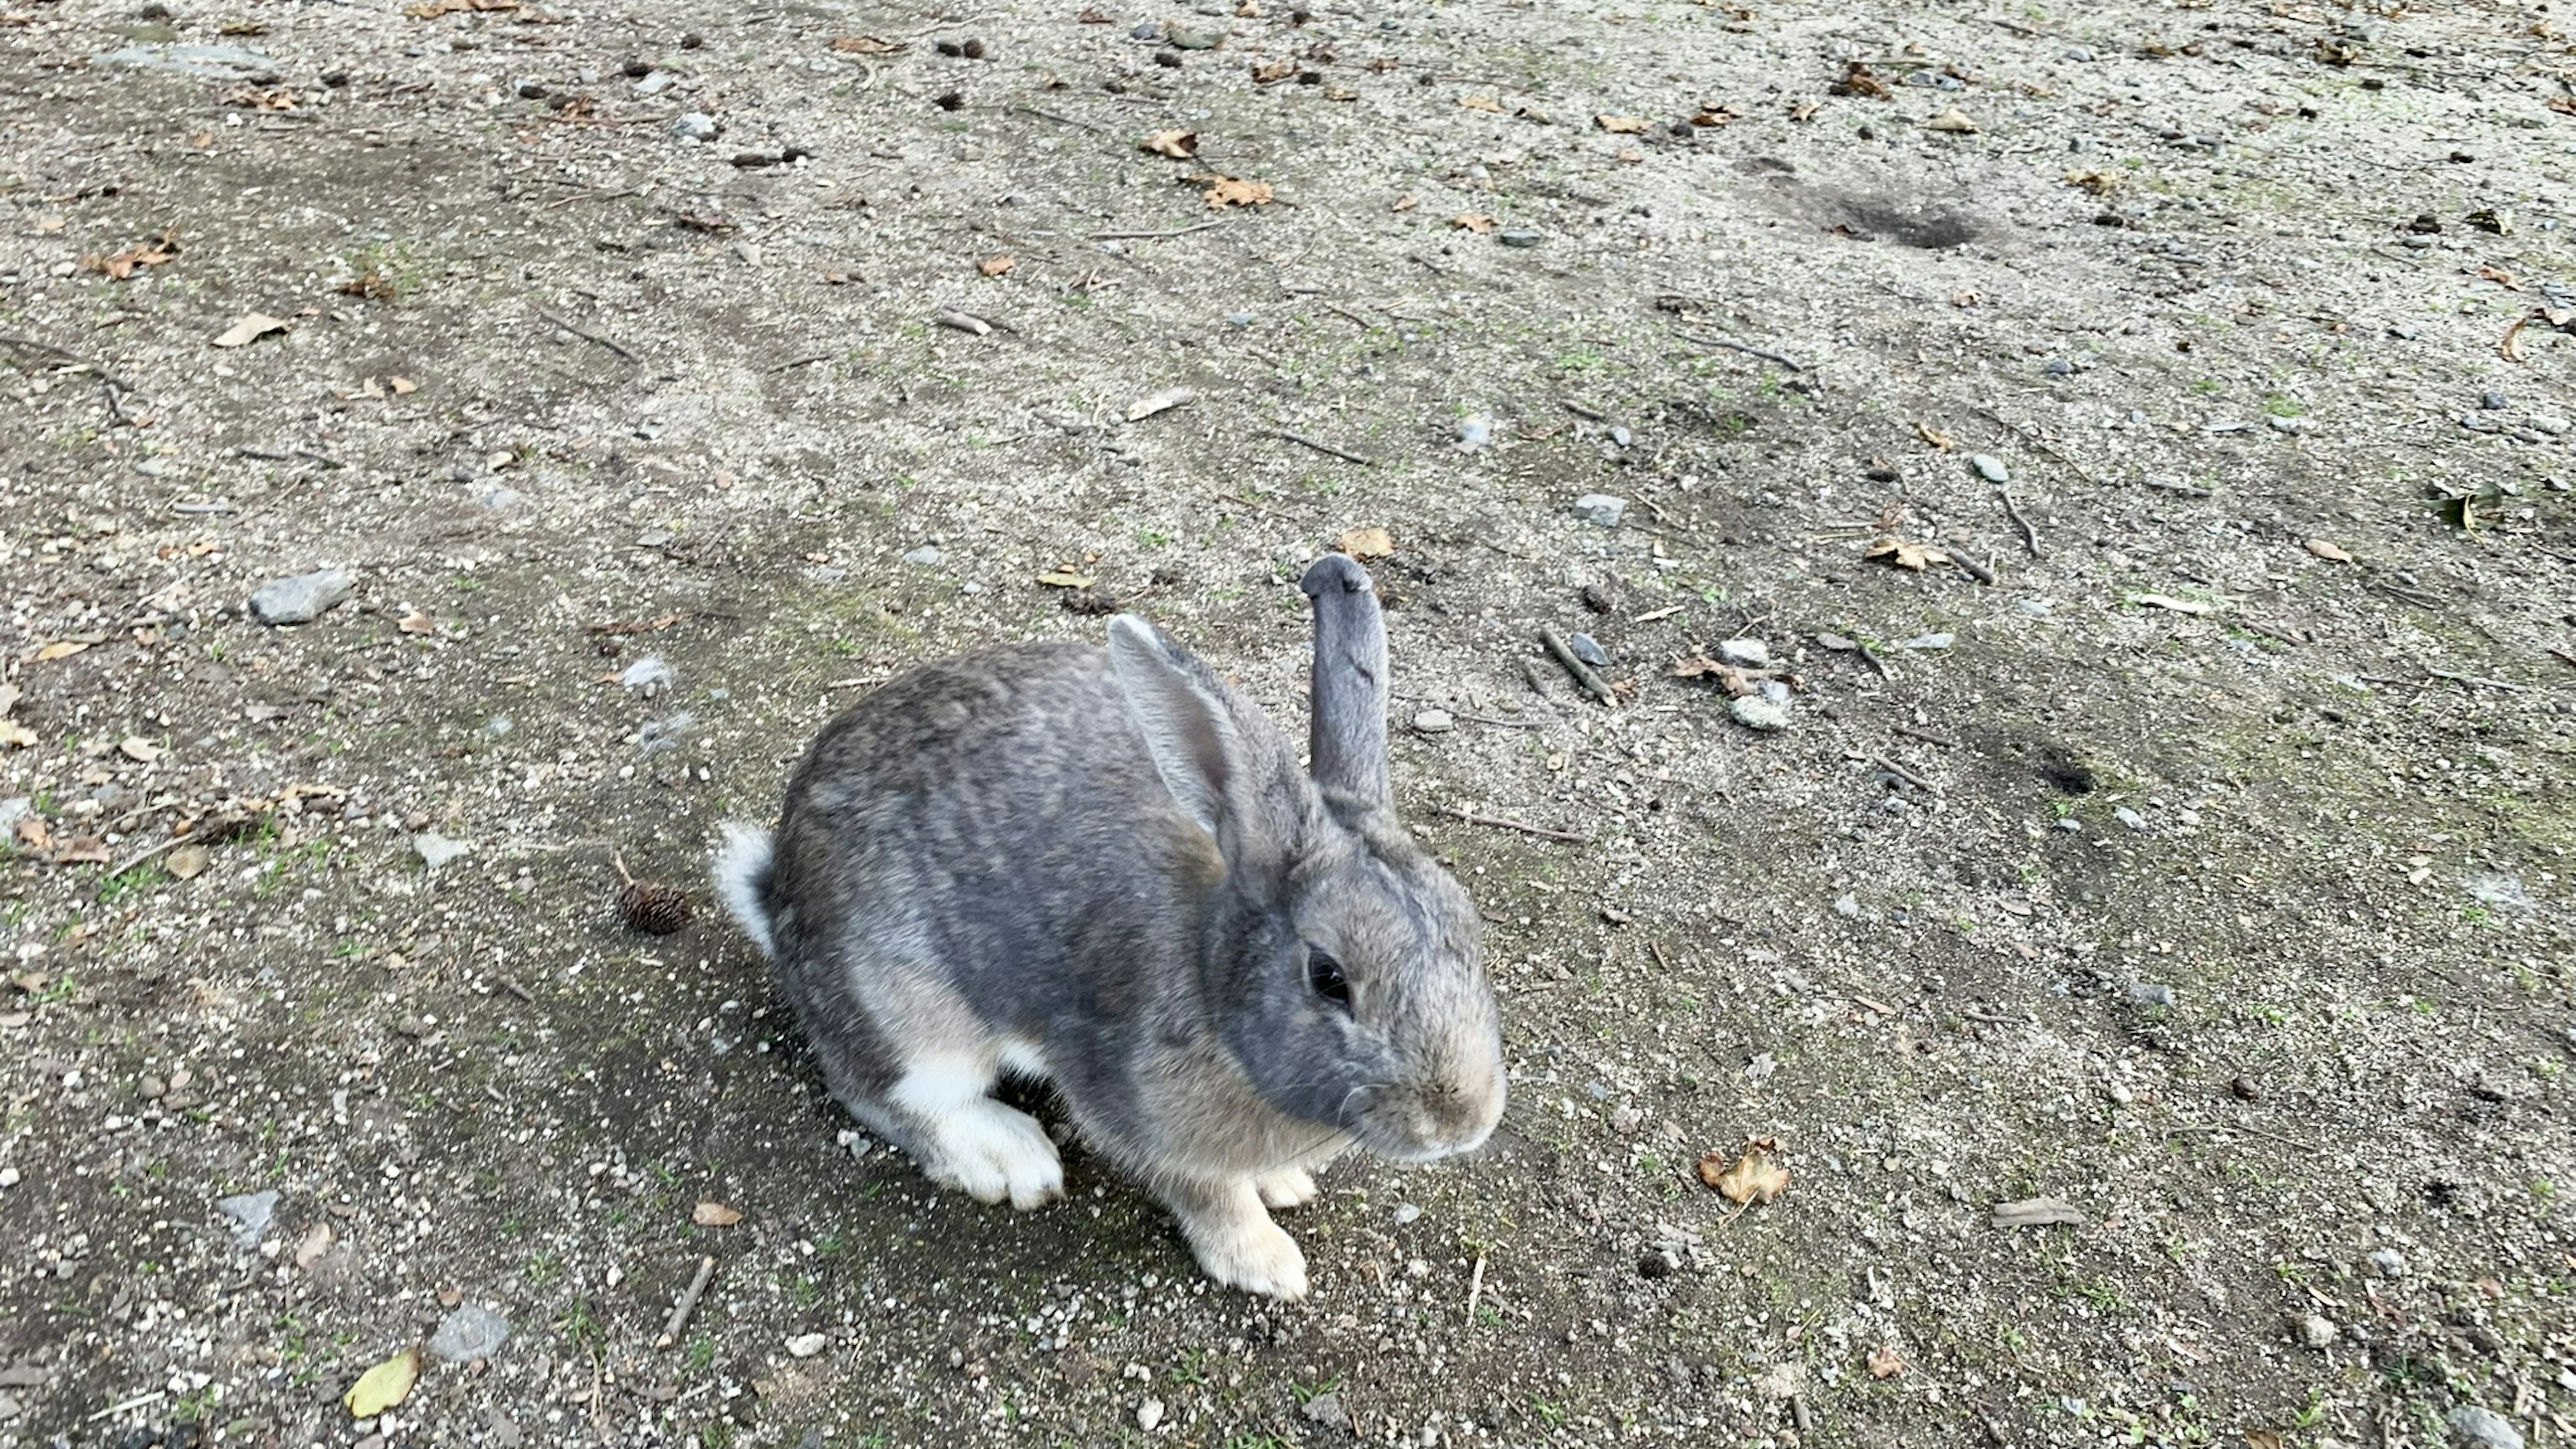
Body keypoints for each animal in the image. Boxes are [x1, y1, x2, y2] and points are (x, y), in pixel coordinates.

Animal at [710, 554, 1504, 1299]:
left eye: (1469, 932)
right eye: (1329, 977)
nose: (1461, 1123)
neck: (1213, 974)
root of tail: (776, 893)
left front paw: (1287, 1186)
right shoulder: (1147, 1121)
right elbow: (1209, 1196)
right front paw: (1266, 1263)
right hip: (911, 1018)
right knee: (879, 1093)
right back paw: (1011, 1159)